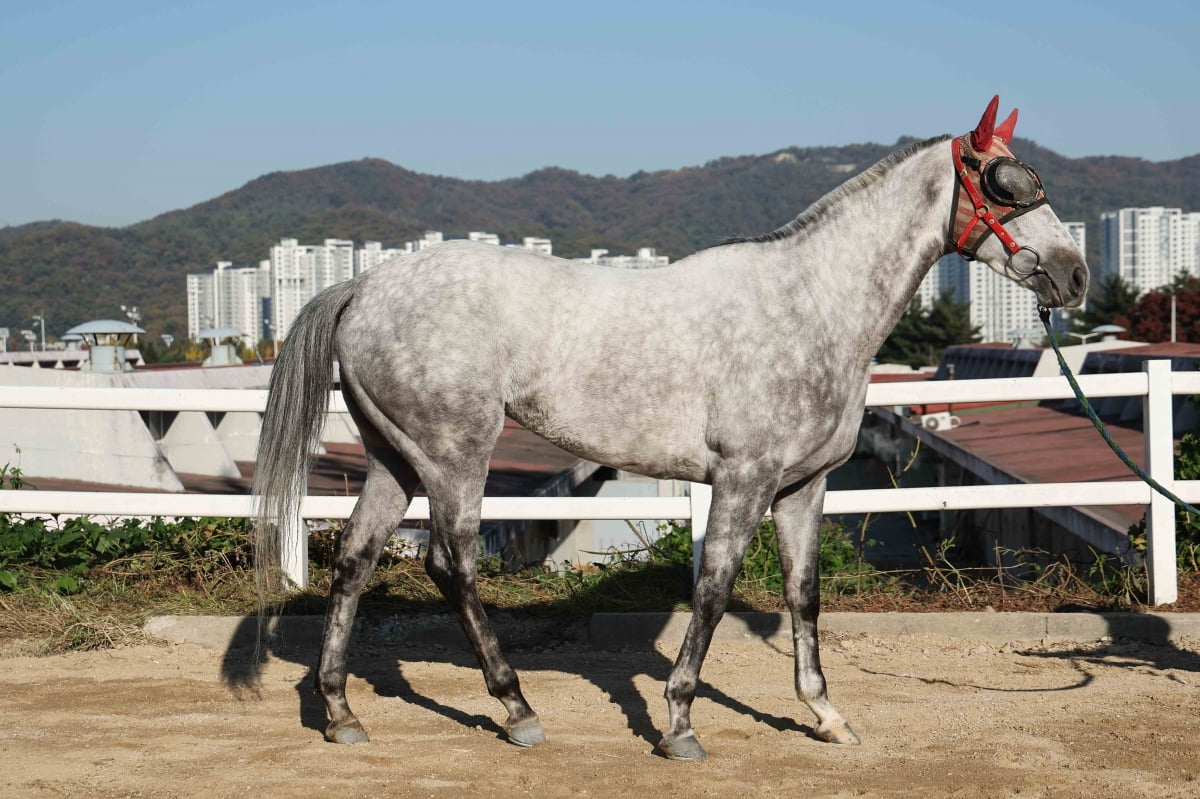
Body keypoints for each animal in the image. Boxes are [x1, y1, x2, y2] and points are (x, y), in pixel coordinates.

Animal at [253, 96, 1089, 758]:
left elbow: (804, 595)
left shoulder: (803, 487)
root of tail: (364, 283)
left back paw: (341, 712)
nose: (1073, 274)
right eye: (1006, 182)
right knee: (451, 564)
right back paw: (517, 708)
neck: (810, 304)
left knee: (355, 561)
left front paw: (825, 714)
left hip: (395, 460)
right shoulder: (743, 480)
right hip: (456, 454)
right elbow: (713, 589)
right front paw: (680, 722)